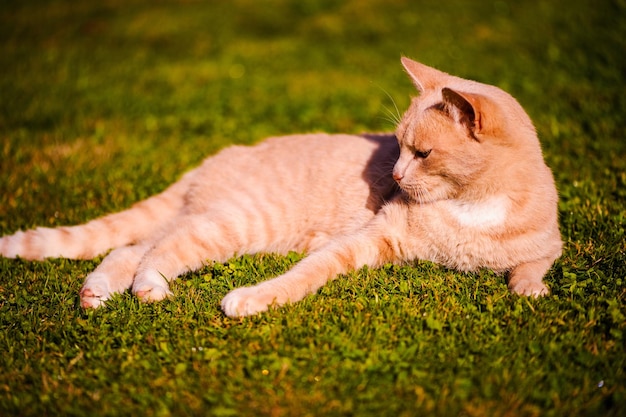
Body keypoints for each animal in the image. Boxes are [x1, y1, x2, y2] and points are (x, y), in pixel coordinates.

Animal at [0, 57, 560, 316]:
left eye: (420, 154)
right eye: (397, 147)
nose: (396, 177)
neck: (469, 207)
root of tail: (213, 159)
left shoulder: (550, 243)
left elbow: (532, 266)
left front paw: (530, 289)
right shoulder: (366, 240)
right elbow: (301, 276)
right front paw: (251, 300)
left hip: (224, 223)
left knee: (133, 246)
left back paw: (98, 291)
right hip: (234, 222)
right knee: (156, 247)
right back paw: (146, 286)